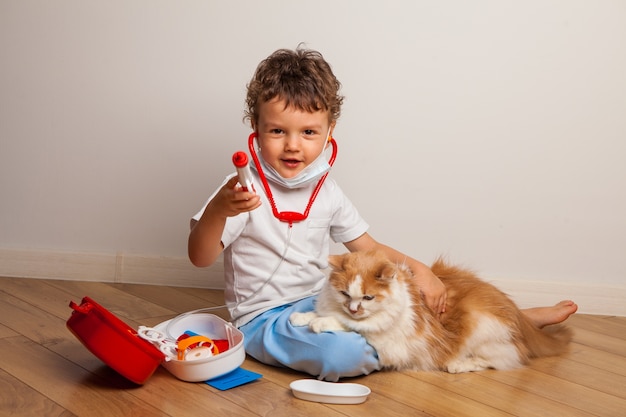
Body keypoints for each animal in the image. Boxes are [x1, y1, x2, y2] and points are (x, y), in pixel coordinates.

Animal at [288, 249, 572, 372]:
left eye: (368, 297)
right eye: (346, 294)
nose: (355, 309)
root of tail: (517, 314)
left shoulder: (384, 338)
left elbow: (348, 325)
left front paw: (319, 323)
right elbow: (324, 314)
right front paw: (301, 316)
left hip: (482, 329)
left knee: (503, 359)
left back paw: (458, 365)